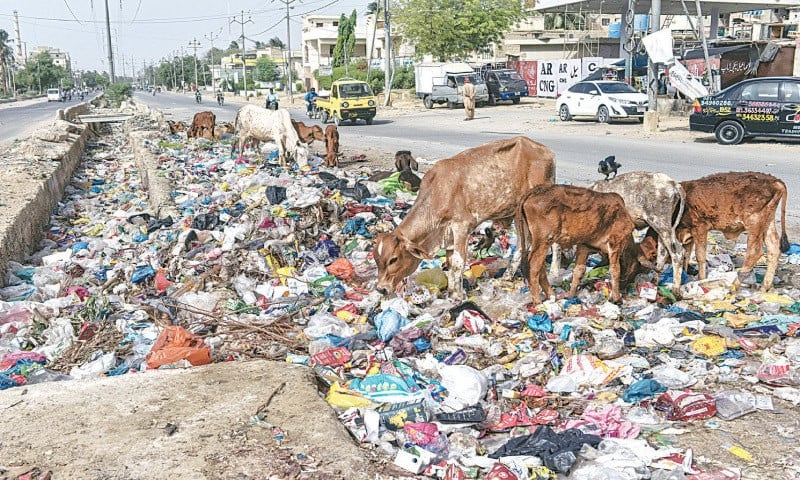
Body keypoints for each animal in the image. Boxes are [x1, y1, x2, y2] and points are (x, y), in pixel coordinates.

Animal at [372, 135, 552, 298]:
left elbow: (458, 264)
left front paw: (459, 296)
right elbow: (451, 264)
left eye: (393, 260)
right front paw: (452, 292)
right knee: (524, 243)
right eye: (376, 260)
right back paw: (507, 276)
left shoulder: (462, 227)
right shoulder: (448, 236)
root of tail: (545, 150)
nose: (381, 289)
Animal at [516, 184, 652, 304]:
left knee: (541, 267)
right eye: (639, 269)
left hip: (535, 239)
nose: (625, 287)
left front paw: (571, 295)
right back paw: (538, 300)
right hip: (544, 240)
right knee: (534, 266)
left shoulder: (584, 246)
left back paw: (551, 295)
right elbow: (615, 270)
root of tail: (535, 191)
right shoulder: (615, 243)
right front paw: (617, 298)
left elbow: (579, 270)